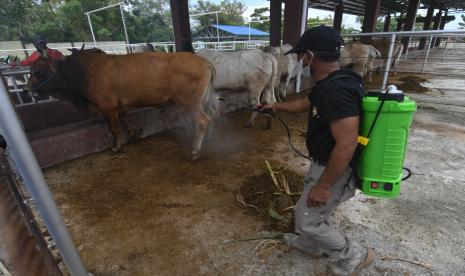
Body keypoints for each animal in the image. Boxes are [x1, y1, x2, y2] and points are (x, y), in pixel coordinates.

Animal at [23, 47, 216, 160]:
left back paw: (195, 151)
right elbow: (123, 120)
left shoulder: (107, 107)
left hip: (189, 102)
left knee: (202, 121)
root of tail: (204, 61)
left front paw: (116, 147)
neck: (84, 72)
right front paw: (135, 133)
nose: (25, 89)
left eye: (37, 71)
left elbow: (113, 128)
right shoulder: (119, 106)